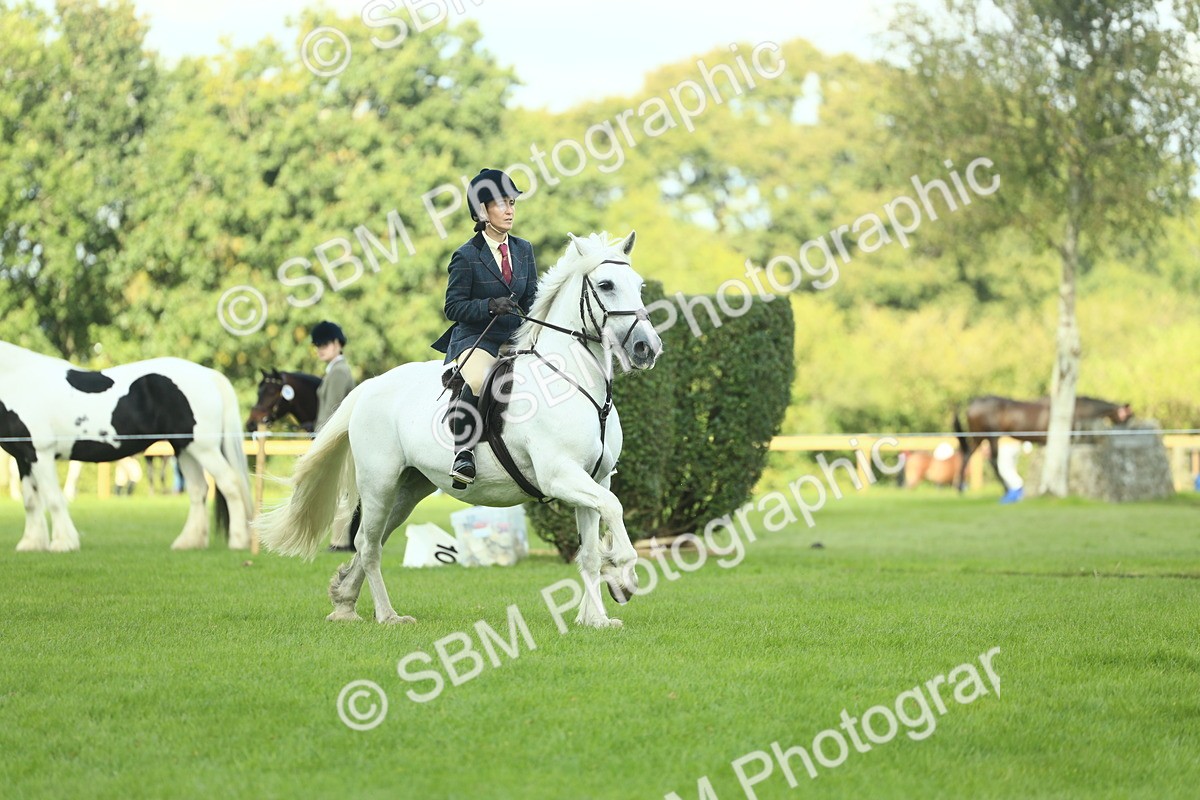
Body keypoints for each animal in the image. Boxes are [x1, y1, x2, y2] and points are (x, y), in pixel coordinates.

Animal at [0, 342, 254, 551]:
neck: (19, 382)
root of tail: (209, 375)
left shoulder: (41, 454)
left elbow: (53, 498)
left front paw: (63, 543)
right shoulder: (24, 458)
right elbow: (31, 501)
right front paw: (31, 543)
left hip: (204, 448)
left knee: (230, 483)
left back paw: (238, 540)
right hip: (184, 449)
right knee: (198, 489)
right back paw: (189, 542)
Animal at [257, 231, 663, 628]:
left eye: (639, 285)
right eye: (606, 285)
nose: (647, 347)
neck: (572, 381)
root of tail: (370, 386)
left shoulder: (595, 478)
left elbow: (591, 550)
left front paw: (596, 618)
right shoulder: (560, 475)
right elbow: (614, 509)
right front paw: (626, 573)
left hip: (407, 490)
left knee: (370, 541)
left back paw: (343, 602)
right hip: (378, 484)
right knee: (369, 546)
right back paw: (387, 616)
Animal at [953, 395, 1132, 493]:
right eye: (1128, 417)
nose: (1130, 432)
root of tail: (972, 404)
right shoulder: (1049, 441)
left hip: (978, 437)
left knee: (967, 455)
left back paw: (960, 488)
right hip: (991, 436)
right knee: (992, 460)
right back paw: (1006, 489)